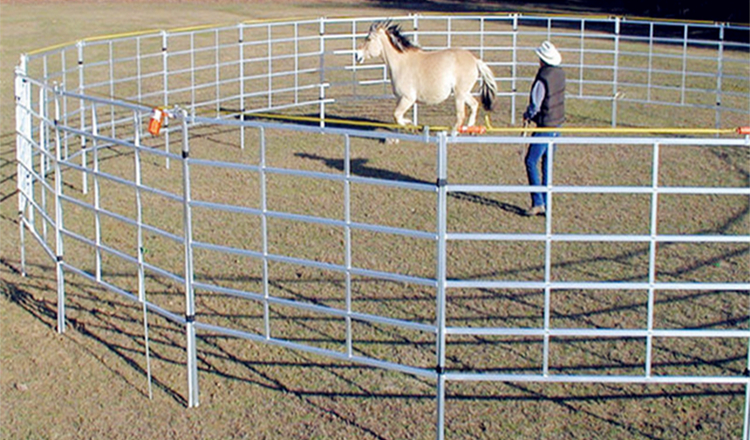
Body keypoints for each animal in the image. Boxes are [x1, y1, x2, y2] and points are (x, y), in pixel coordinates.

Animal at [358, 21, 500, 131]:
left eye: (369, 39)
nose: (357, 55)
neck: (401, 63)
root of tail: (475, 60)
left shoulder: (408, 98)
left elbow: (396, 115)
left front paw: (409, 124)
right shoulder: (400, 98)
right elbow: (397, 116)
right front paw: (409, 124)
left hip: (460, 94)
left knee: (461, 115)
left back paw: (454, 132)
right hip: (463, 92)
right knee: (474, 104)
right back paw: (468, 128)